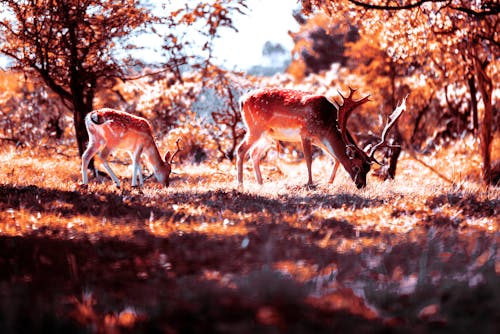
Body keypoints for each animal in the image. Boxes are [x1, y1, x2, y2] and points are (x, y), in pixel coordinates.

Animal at [235, 87, 406, 189]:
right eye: (357, 166)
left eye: (369, 169)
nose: (361, 185)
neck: (327, 123)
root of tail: (242, 100)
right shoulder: (305, 134)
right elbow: (309, 160)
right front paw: (310, 183)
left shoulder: (321, 140)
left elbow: (336, 158)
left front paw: (329, 182)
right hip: (255, 128)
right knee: (240, 149)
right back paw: (241, 184)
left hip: (267, 136)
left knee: (254, 154)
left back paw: (260, 183)